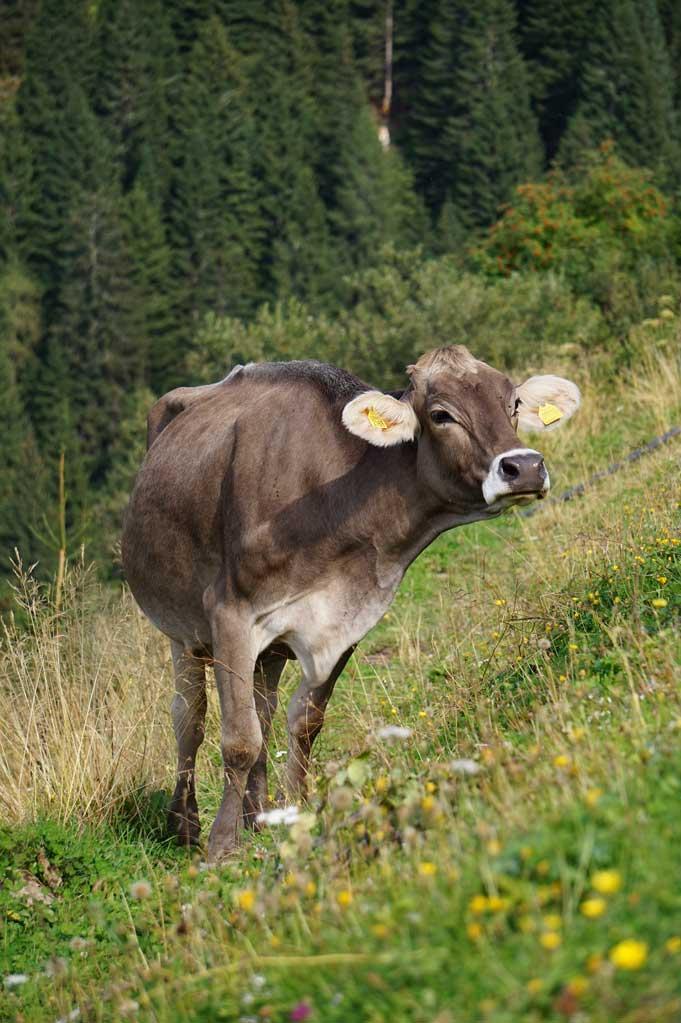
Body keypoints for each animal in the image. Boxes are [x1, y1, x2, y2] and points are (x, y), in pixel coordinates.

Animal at [122, 345, 580, 862]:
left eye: (514, 404)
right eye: (441, 414)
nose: (524, 467)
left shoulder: (348, 619)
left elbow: (303, 723)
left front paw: (297, 812)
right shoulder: (229, 613)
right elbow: (238, 739)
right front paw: (221, 846)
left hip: (269, 648)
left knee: (262, 708)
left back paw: (258, 815)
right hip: (182, 630)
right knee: (190, 718)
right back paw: (185, 824)